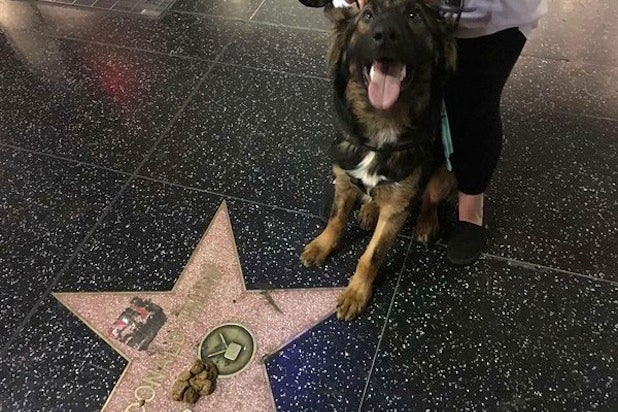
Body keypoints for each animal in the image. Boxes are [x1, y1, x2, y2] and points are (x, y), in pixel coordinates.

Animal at [300, 0, 454, 320]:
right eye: (368, 15)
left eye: (414, 15)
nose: (385, 35)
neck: (381, 127)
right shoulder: (344, 179)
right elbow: (336, 219)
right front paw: (322, 245)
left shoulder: (396, 210)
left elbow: (371, 256)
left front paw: (356, 293)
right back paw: (369, 210)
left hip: (446, 176)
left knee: (429, 200)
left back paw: (425, 223)